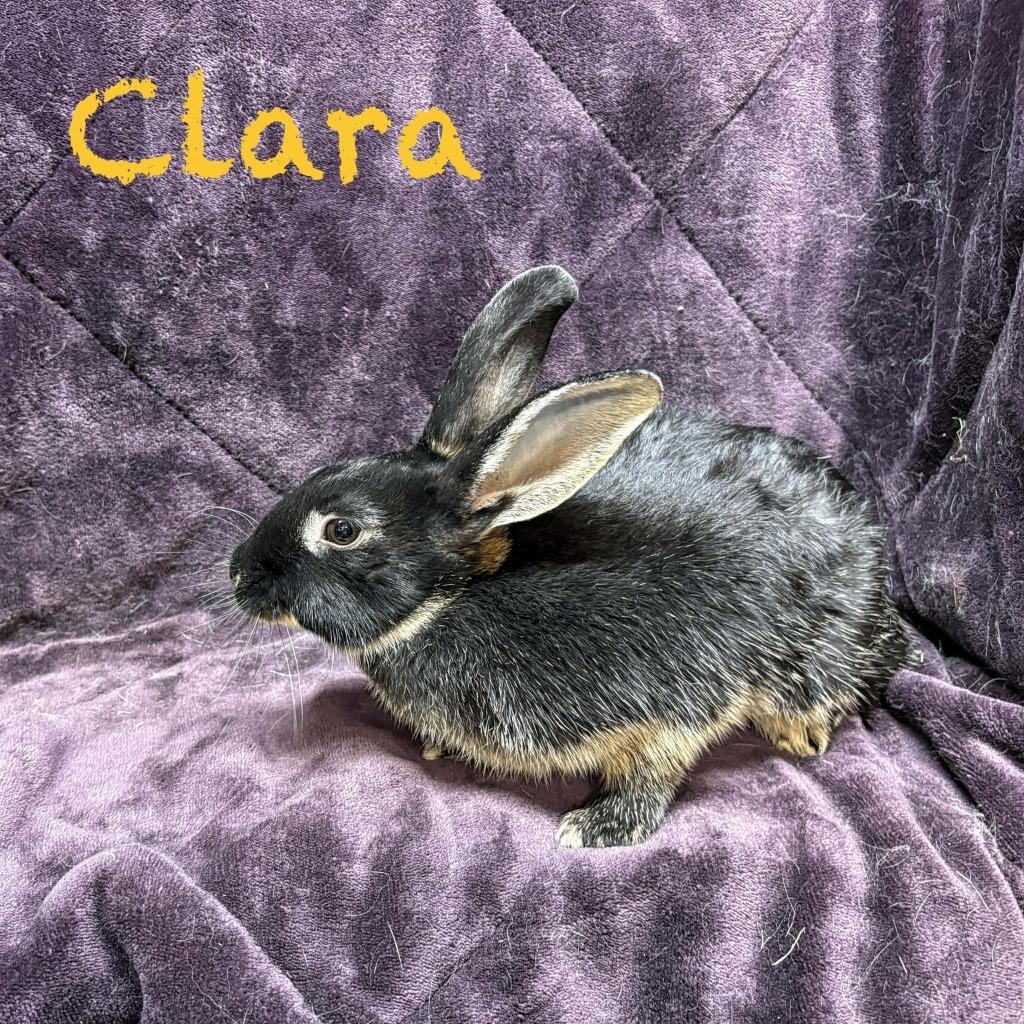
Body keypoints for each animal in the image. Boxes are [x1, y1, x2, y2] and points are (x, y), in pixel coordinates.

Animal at [229, 265, 909, 848]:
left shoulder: (672, 702)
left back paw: (801, 734)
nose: (238, 573)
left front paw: (598, 828)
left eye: (341, 530)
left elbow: (654, 771)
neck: (461, 590)